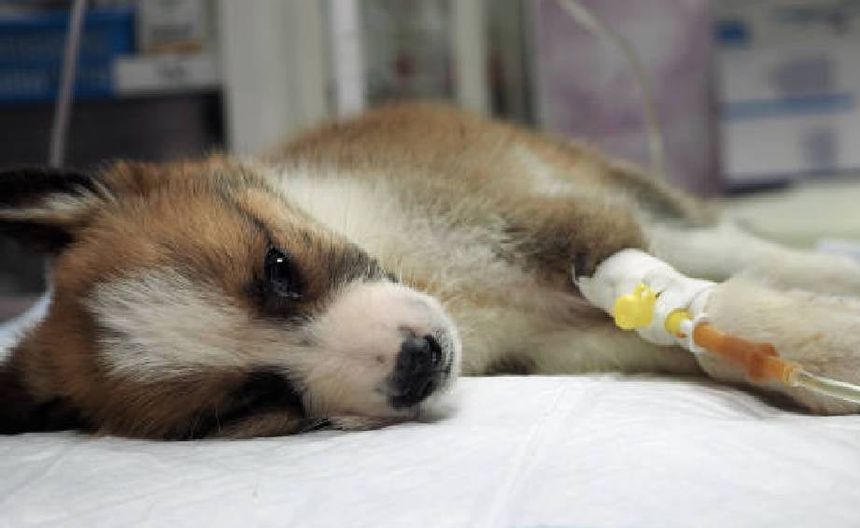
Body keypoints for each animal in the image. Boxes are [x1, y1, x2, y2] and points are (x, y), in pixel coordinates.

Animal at [2, 102, 860, 439]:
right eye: (251, 401)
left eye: (278, 268)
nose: (420, 362)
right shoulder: (569, 347)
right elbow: (719, 337)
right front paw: (815, 354)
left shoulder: (533, 214)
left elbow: (637, 272)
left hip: (650, 204)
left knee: (743, 248)